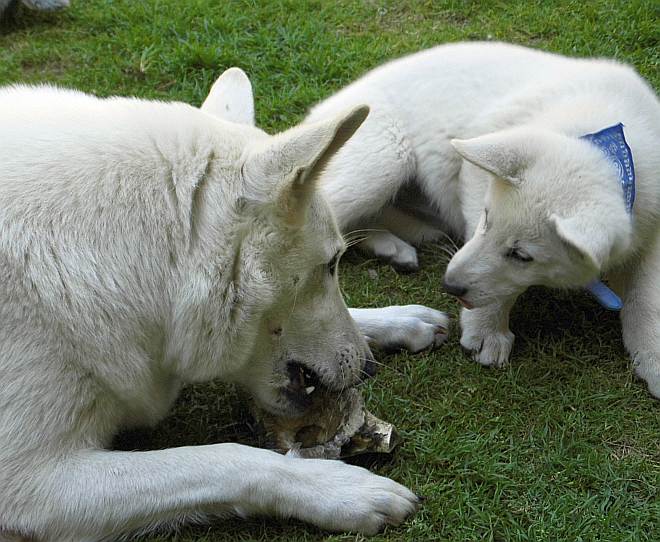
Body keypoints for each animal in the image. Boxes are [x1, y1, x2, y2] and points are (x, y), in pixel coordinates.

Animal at [0, 73, 452, 542]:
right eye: (331, 264)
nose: (368, 369)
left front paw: (398, 319)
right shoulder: (34, 485)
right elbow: (224, 458)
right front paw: (341, 490)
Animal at [306, 43, 660, 400]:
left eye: (522, 256)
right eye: (486, 219)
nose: (448, 286)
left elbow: (647, 294)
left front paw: (653, 355)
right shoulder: (476, 174)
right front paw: (487, 329)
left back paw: (394, 245)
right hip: (385, 159)